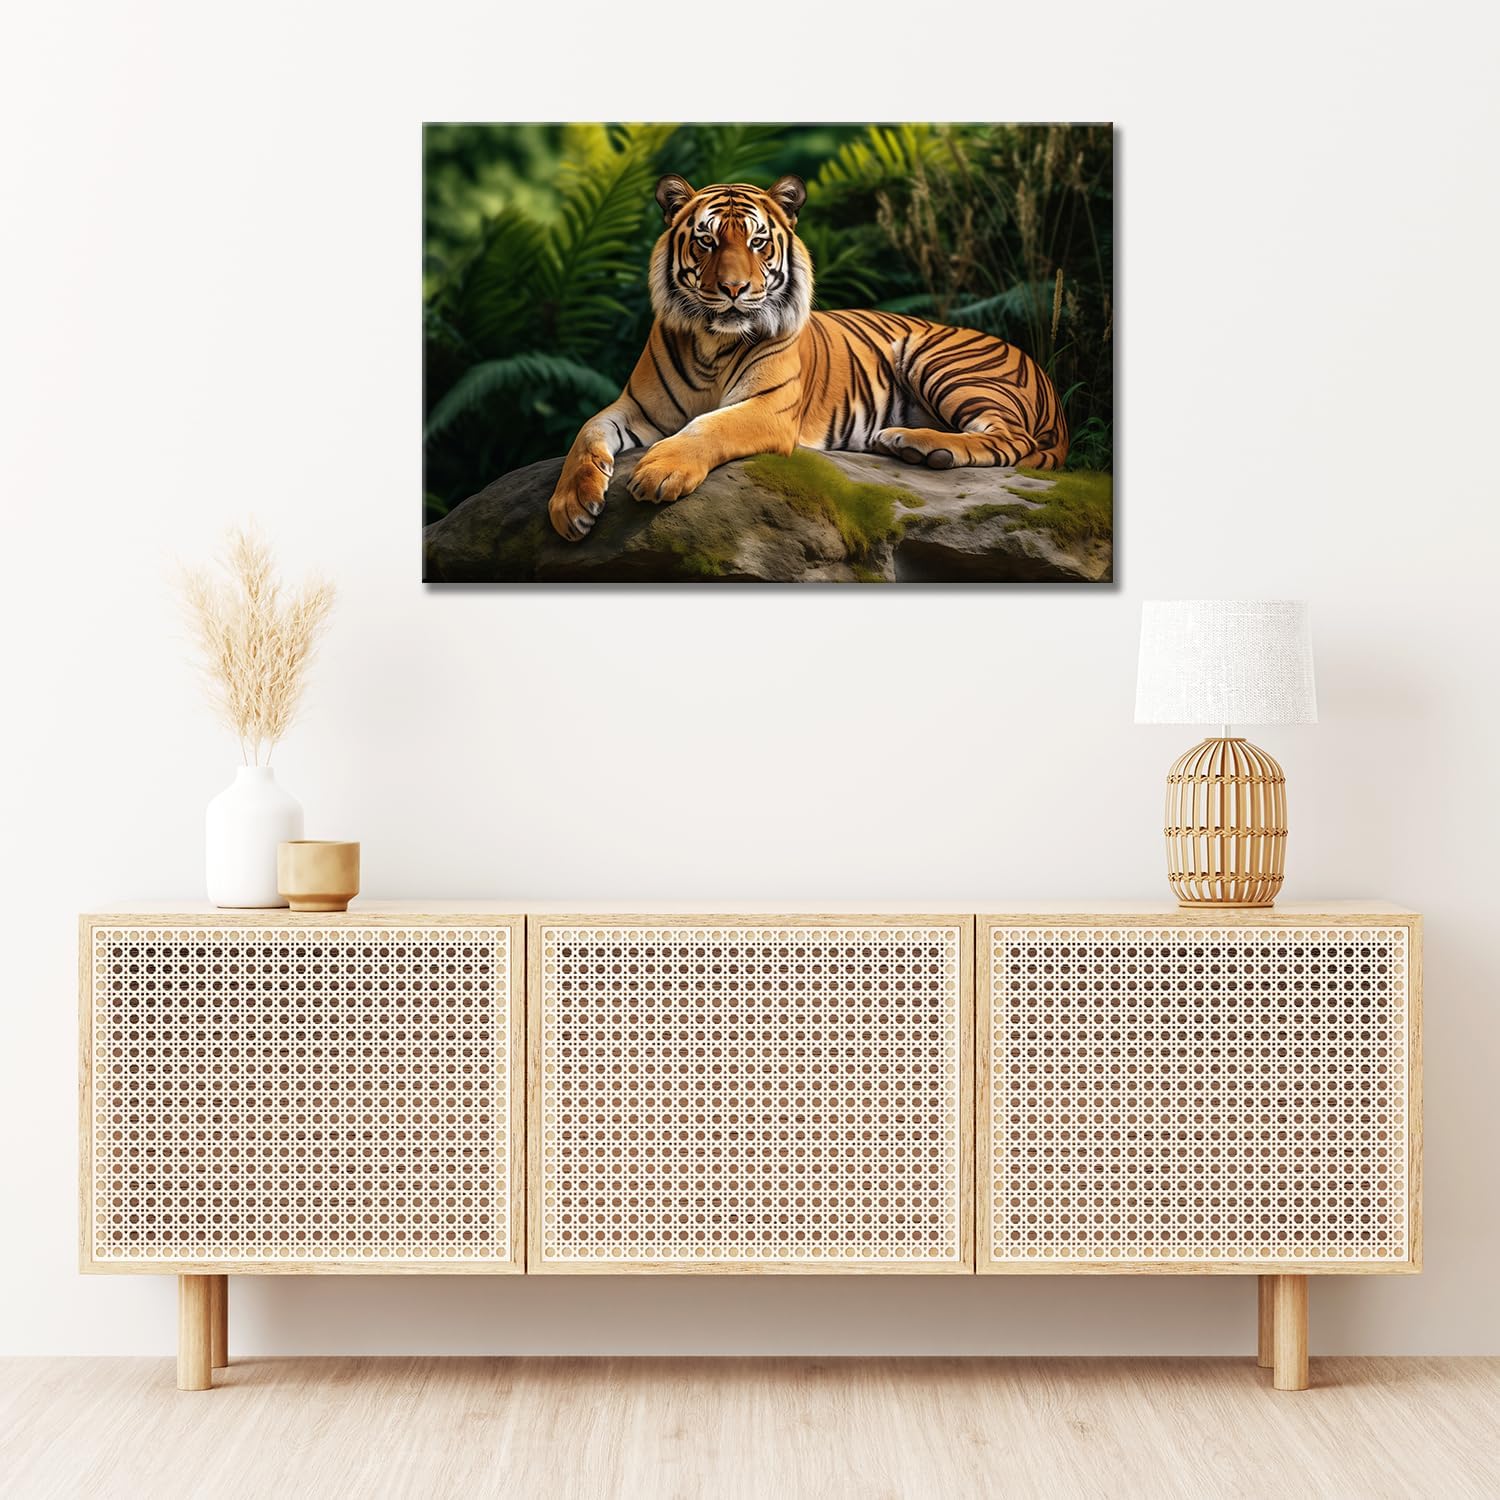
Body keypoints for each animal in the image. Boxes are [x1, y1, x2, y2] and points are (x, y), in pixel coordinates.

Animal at [547, 172, 1068, 541]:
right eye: (707, 240)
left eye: (757, 242)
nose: (734, 289)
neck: (713, 343)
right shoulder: (637, 406)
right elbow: (586, 432)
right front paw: (570, 507)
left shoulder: (769, 408)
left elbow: (708, 426)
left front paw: (661, 471)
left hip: (939, 361)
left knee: (1011, 440)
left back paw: (918, 444)